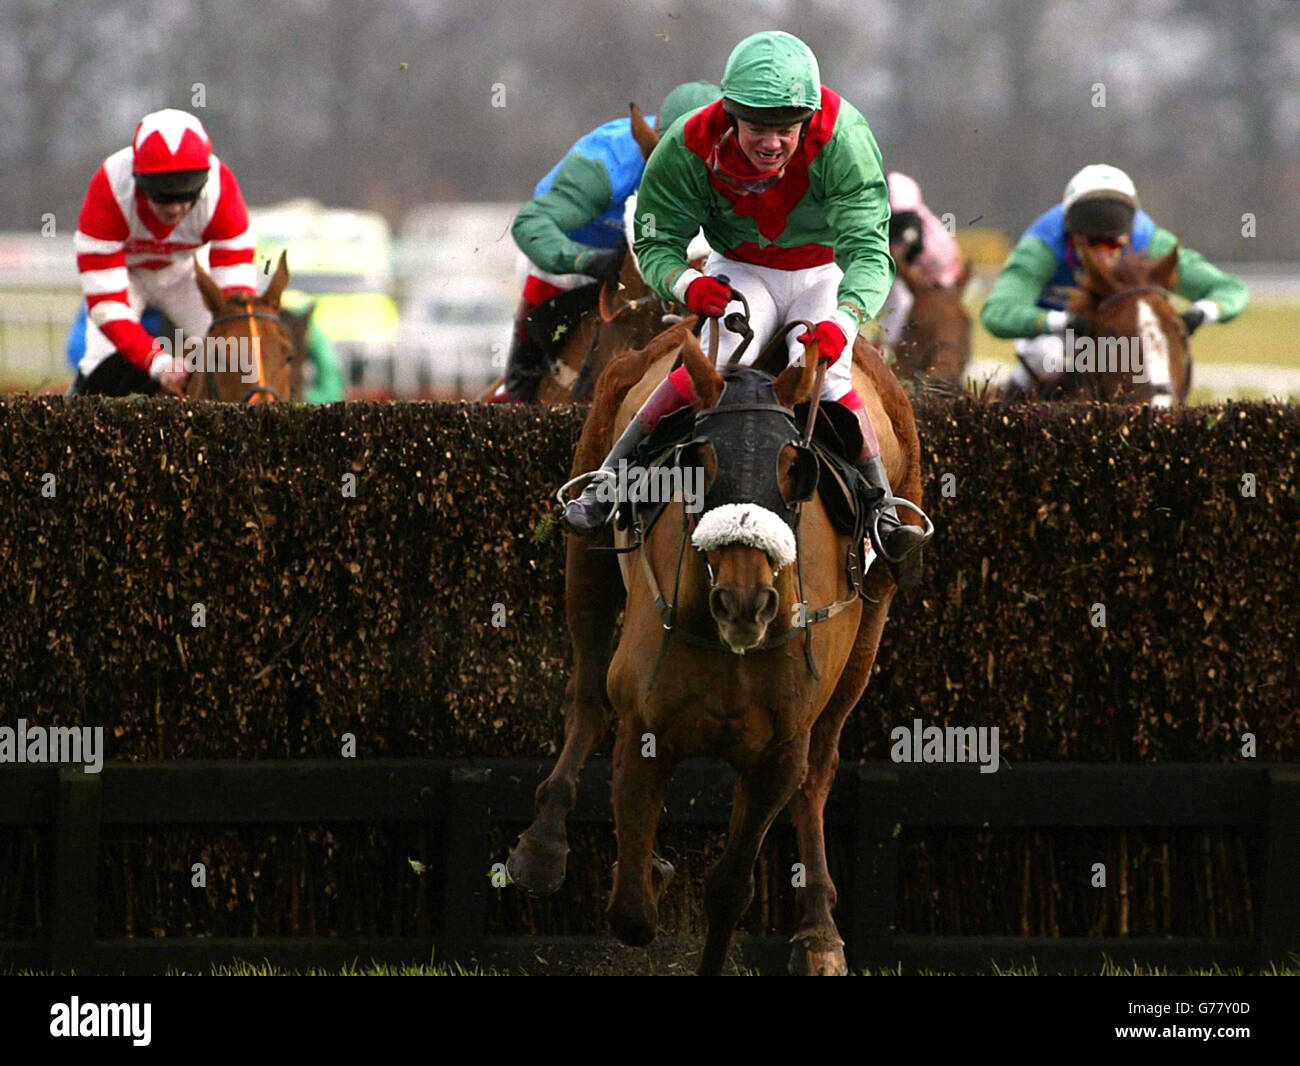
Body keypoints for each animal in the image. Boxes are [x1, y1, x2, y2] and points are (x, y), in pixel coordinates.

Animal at [506, 321, 925, 972]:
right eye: (698, 460)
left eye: (793, 465)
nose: (745, 602)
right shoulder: (645, 724)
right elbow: (631, 912)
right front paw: (648, 868)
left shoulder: (780, 751)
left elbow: (731, 887)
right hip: (588, 562)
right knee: (588, 700)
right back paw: (542, 846)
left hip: (871, 623)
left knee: (820, 772)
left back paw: (819, 931)